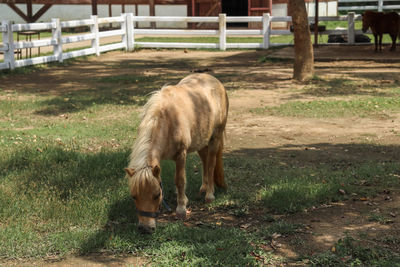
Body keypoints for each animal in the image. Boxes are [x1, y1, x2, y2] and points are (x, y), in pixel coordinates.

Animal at [125, 73, 231, 234]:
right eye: (133, 196)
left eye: (156, 195)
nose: (146, 229)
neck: (168, 119)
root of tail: (215, 81)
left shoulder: (181, 154)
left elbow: (180, 180)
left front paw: (181, 209)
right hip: (201, 142)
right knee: (205, 162)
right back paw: (204, 187)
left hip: (215, 138)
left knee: (211, 163)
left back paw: (209, 194)